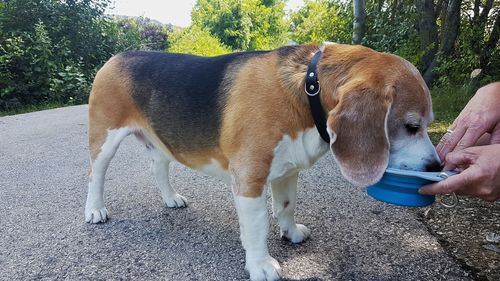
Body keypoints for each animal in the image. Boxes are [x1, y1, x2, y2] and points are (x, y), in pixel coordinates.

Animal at [87, 42, 442, 278]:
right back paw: (95, 210)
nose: (436, 167)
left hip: (161, 143)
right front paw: (260, 264)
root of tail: (116, 56)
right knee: (95, 176)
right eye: (411, 126)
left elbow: (285, 206)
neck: (307, 88)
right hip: (104, 139)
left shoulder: (287, 171)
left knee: (159, 166)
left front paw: (290, 232)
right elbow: (256, 227)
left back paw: (170, 198)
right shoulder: (250, 178)